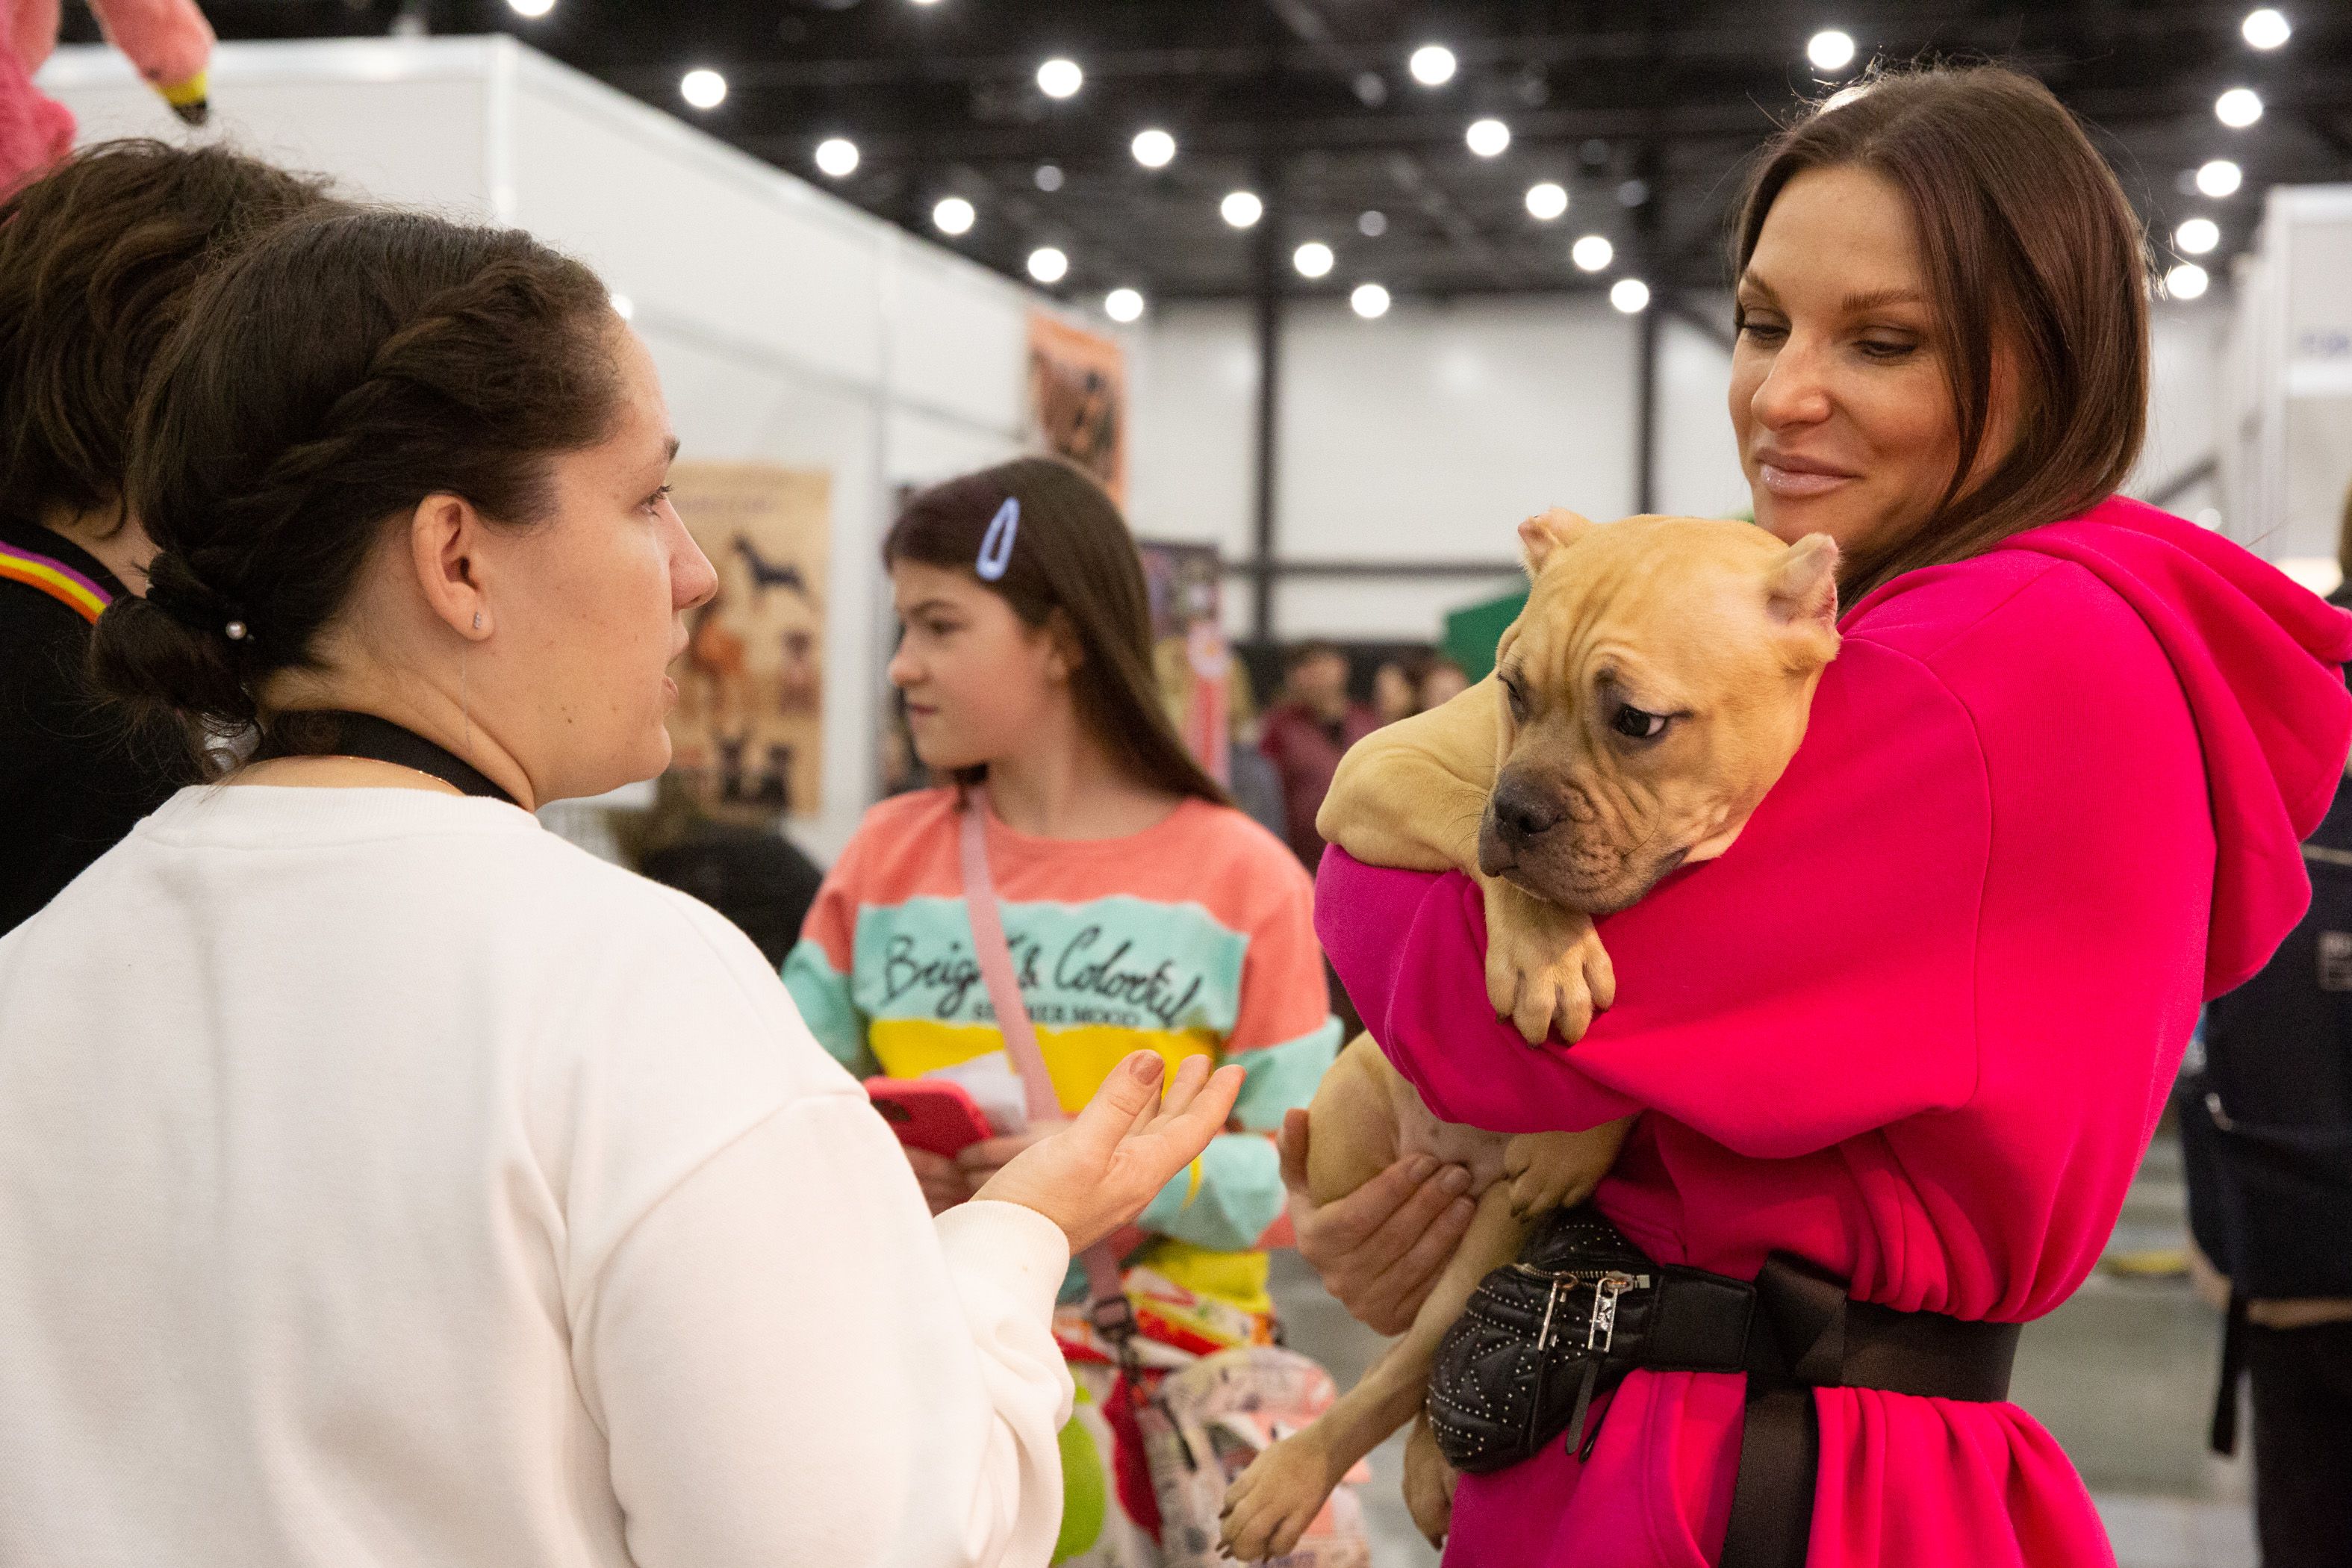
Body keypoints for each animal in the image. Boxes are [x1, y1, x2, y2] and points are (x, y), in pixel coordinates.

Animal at [1223, 512, 1844, 1561]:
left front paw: (1574, 1136)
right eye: (1512, 690)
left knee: (1422, 1358)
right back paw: (1293, 1476)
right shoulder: (1379, 765)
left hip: (1496, 1235)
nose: (1517, 809)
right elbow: (1479, 839)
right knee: (1393, 1360)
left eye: (1637, 722)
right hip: (1349, 1133)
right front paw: (1547, 951)